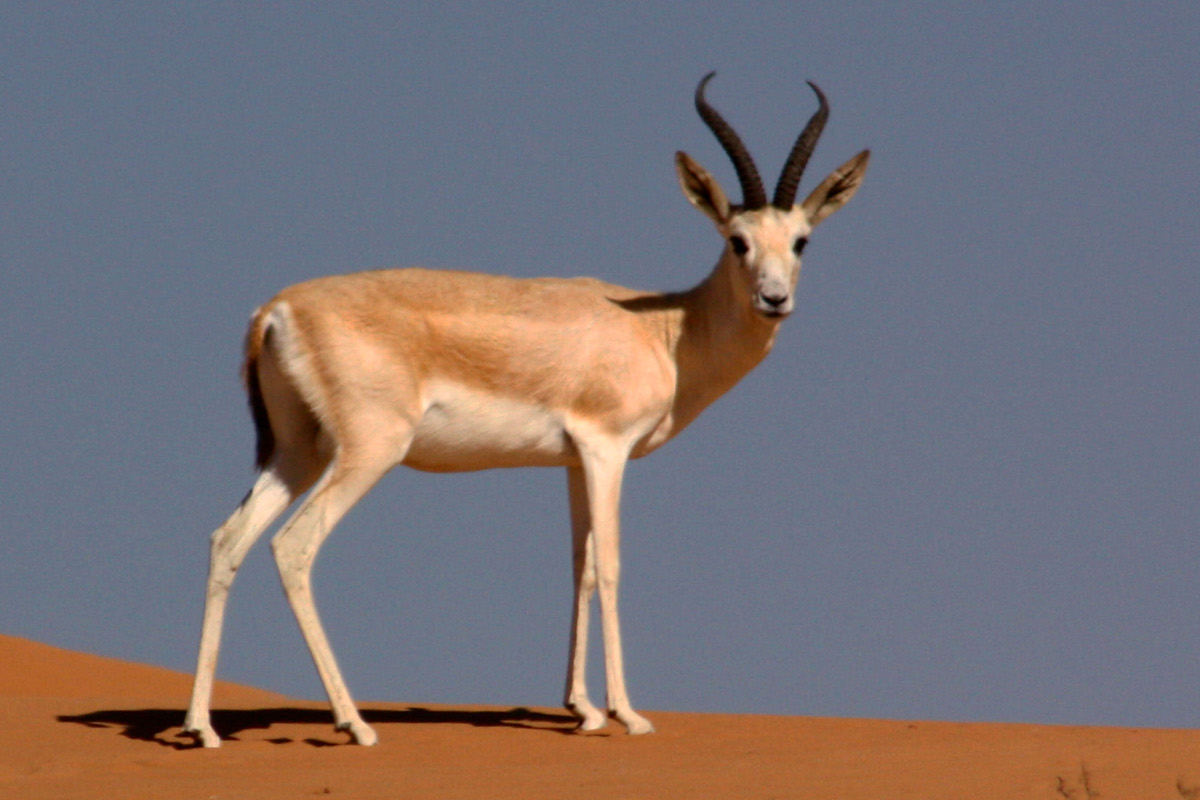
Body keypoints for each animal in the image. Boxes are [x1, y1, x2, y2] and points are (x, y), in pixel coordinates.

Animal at [182, 72, 869, 748]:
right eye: (737, 240)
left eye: (801, 241)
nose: (774, 299)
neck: (666, 330)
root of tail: (277, 308)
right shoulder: (607, 449)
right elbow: (611, 566)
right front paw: (627, 714)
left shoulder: (571, 462)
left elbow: (580, 568)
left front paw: (582, 709)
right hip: (369, 451)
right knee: (294, 546)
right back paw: (354, 722)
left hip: (298, 451)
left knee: (228, 539)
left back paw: (202, 726)